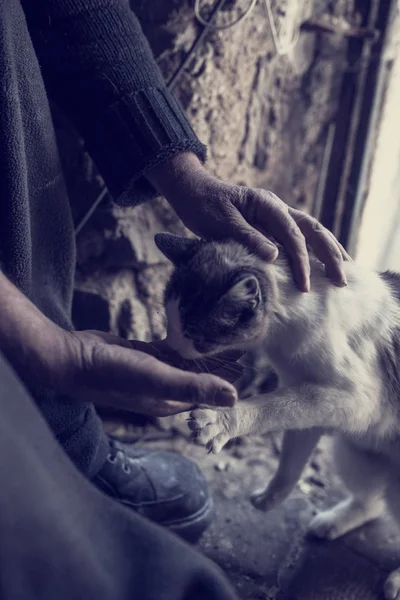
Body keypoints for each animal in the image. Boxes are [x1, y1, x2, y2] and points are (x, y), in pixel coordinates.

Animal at [155, 231, 400, 600]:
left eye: (195, 335)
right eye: (169, 320)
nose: (170, 347)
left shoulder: (355, 399)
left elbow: (273, 407)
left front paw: (223, 421)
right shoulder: (308, 393)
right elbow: (292, 451)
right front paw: (272, 497)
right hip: (355, 455)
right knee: (374, 502)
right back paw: (333, 522)